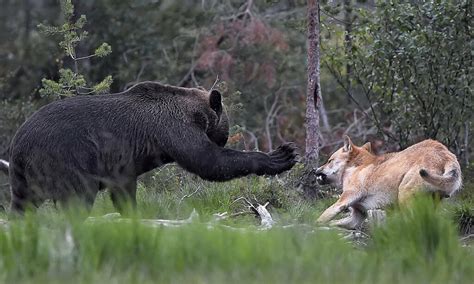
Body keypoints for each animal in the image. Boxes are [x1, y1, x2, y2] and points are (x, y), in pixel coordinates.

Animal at [4, 81, 296, 212]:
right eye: (226, 124)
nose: (224, 137)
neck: (194, 113)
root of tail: (18, 142)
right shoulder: (172, 128)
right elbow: (207, 160)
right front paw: (281, 156)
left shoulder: (121, 164)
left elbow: (123, 189)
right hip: (66, 156)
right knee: (78, 196)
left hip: (24, 175)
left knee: (22, 203)